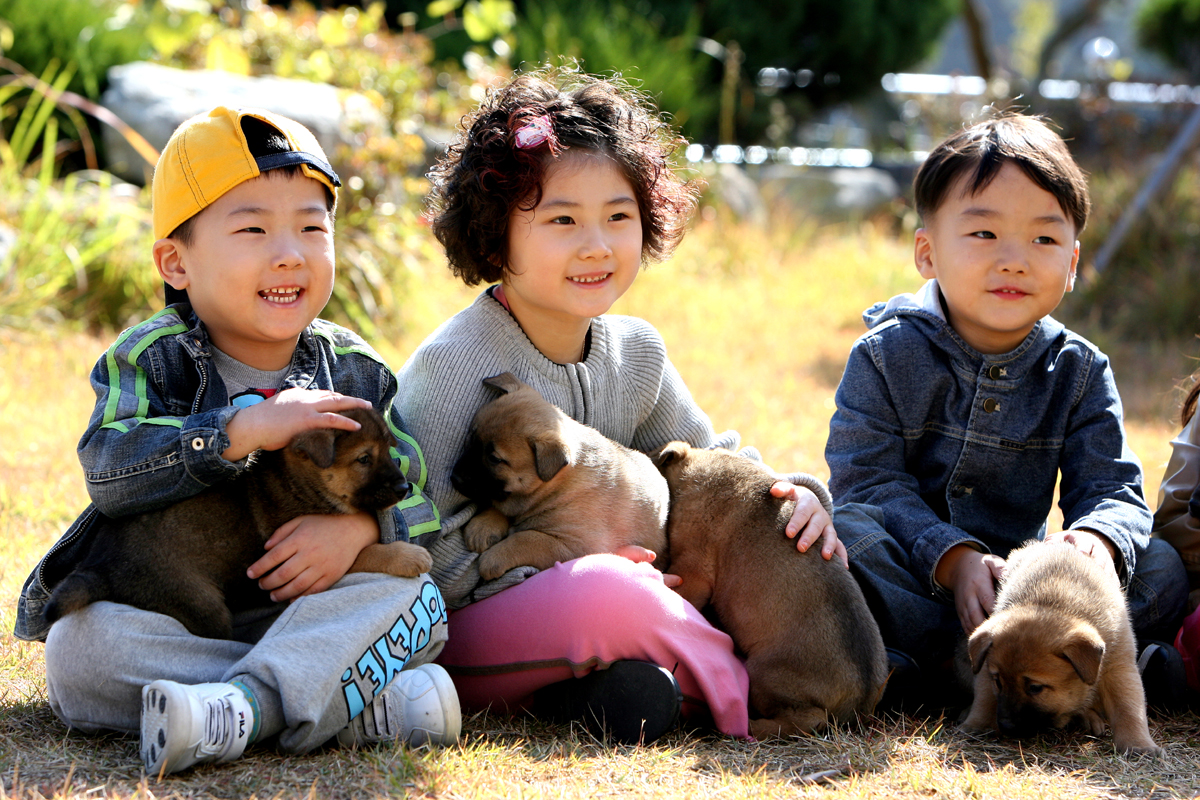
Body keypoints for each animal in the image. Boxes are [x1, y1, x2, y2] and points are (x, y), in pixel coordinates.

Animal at [44, 410, 434, 642]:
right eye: (364, 459)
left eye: (389, 451)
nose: (404, 488)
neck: (300, 482)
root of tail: (101, 566)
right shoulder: (296, 558)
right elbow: (362, 552)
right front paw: (407, 556)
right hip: (199, 600)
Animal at [451, 371, 672, 578]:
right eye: (471, 438)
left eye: (494, 458)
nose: (455, 478)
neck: (557, 486)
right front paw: (483, 525)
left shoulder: (574, 544)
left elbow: (528, 539)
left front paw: (494, 558)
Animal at [955, 537, 1161, 758]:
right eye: (998, 682)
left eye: (1035, 688)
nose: (1006, 726)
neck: (1052, 600)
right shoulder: (985, 668)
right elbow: (985, 698)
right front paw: (978, 724)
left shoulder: (1119, 666)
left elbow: (1128, 708)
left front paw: (1138, 743)